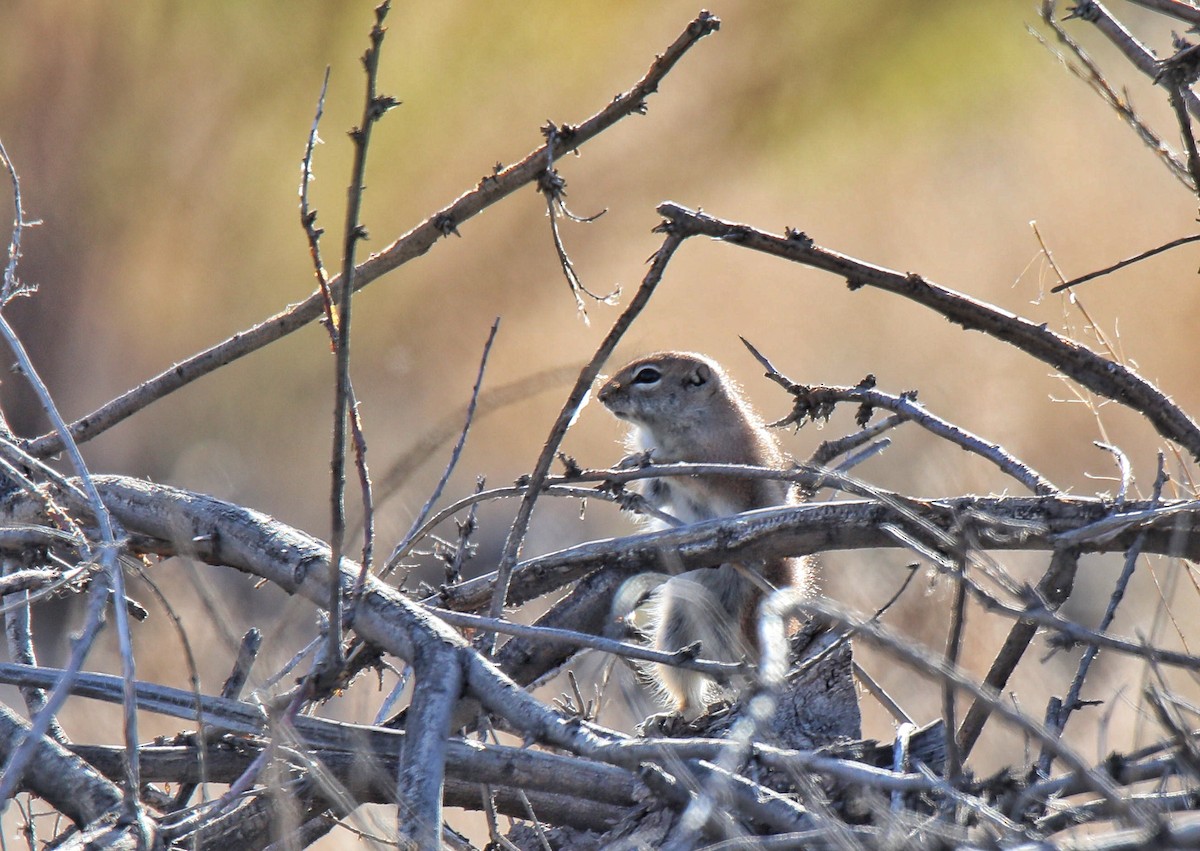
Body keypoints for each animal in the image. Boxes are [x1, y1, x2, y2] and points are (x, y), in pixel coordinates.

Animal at [597, 351, 812, 719]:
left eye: (647, 376)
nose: (601, 395)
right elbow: (657, 497)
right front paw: (629, 489)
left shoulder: (721, 462)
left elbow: (695, 472)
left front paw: (646, 461)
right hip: (675, 628)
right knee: (684, 675)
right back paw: (676, 715)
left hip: (747, 612)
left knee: (748, 657)